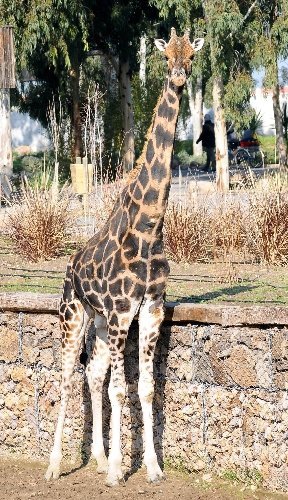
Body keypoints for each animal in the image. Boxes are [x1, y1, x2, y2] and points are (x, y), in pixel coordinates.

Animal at [44, 26, 202, 484]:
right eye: (166, 56)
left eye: (192, 57)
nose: (179, 77)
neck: (149, 226)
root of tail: (69, 265)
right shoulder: (120, 312)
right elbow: (120, 388)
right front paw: (118, 469)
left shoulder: (150, 309)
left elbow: (144, 388)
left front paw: (151, 467)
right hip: (74, 314)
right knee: (68, 376)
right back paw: (56, 464)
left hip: (97, 321)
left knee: (93, 374)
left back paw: (95, 456)